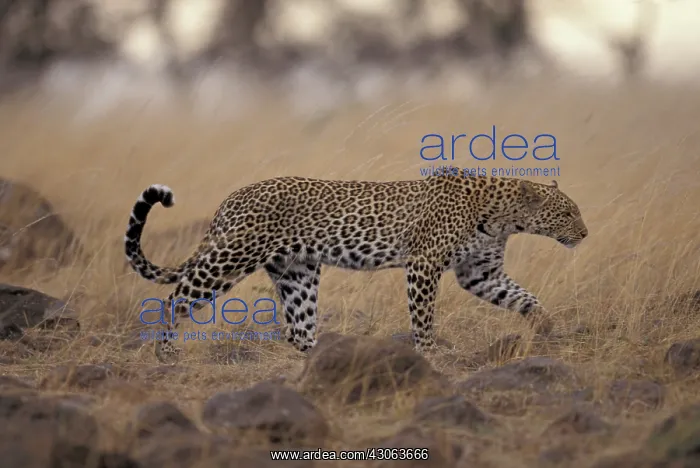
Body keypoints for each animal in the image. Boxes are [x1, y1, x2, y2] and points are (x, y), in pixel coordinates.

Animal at [124, 171, 588, 363]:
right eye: (567, 214)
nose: (585, 234)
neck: (503, 216)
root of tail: (231, 199)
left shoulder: (480, 273)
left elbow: (524, 297)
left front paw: (546, 328)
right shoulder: (423, 264)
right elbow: (423, 317)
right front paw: (429, 353)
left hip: (298, 272)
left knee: (298, 328)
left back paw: (330, 356)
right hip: (230, 259)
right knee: (175, 297)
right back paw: (165, 351)